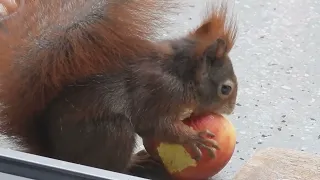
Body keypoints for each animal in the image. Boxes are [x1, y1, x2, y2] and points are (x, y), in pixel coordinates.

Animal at [0, 0, 238, 179]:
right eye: (226, 89)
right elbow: (157, 126)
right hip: (114, 132)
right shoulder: (159, 94)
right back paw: (134, 162)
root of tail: (56, 153)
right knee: (113, 165)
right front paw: (194, 138)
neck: (180, 74)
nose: (231, 109)